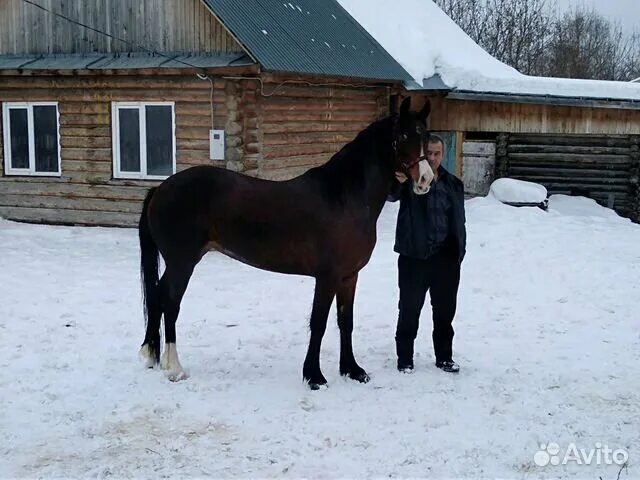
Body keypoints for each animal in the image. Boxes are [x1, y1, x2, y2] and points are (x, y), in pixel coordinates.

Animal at [138, 97, 432, 390]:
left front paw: (352, 370)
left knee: (156, 296)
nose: (425, 179)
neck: (345, 198)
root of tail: (160, 189)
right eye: (403, 135)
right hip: (182, 263)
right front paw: (315, 376)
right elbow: (319, 323)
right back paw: (175, 368)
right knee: (170, 302)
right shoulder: (327, 277)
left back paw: (152, 358)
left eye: (426, 135)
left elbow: (345, 322)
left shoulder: (349, 276)